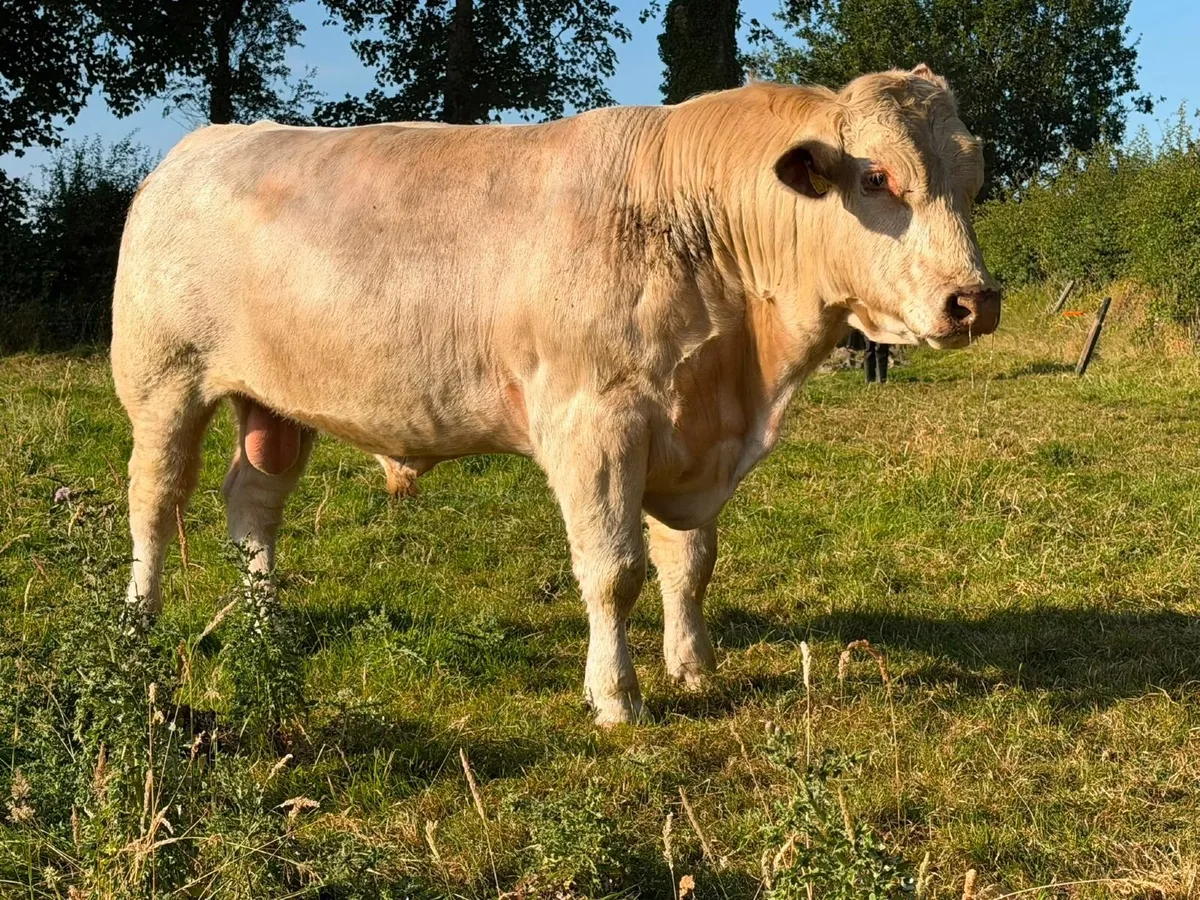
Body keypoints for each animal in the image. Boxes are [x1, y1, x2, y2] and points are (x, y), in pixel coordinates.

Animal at [112, 65, 1000, 725]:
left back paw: (268, 625)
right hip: (163, 380)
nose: (974, 300)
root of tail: (202, 146)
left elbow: (690, 560)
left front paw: (693, 665)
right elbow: (615, 570)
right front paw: (617, 697)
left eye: (972, 177)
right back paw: (138, 625)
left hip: (275, 401)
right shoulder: (597, 424)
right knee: (155, 501)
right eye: (878, 176)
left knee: (252, 503)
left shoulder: (691, 431)